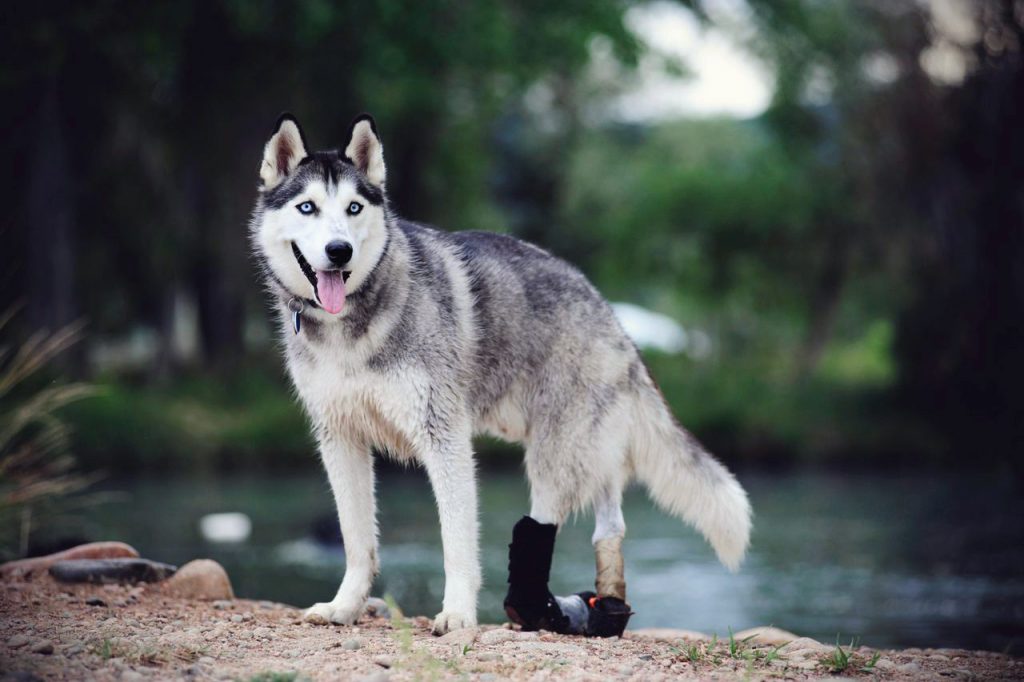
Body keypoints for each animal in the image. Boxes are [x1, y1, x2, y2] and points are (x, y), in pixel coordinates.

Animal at [249, 114, 753, 634]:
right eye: (307, 207)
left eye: (353, 207)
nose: (339, 250)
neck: (350, 324)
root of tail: (612, 316)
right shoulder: (340, 438)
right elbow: (356, 541)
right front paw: (345, 606)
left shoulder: (444, 438)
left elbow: (455, 541)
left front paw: (457, 613)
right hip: (578, 447)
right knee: (611, 521)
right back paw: (605, 604)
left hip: (556, 454)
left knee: (549, 523)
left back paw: (543, 610)